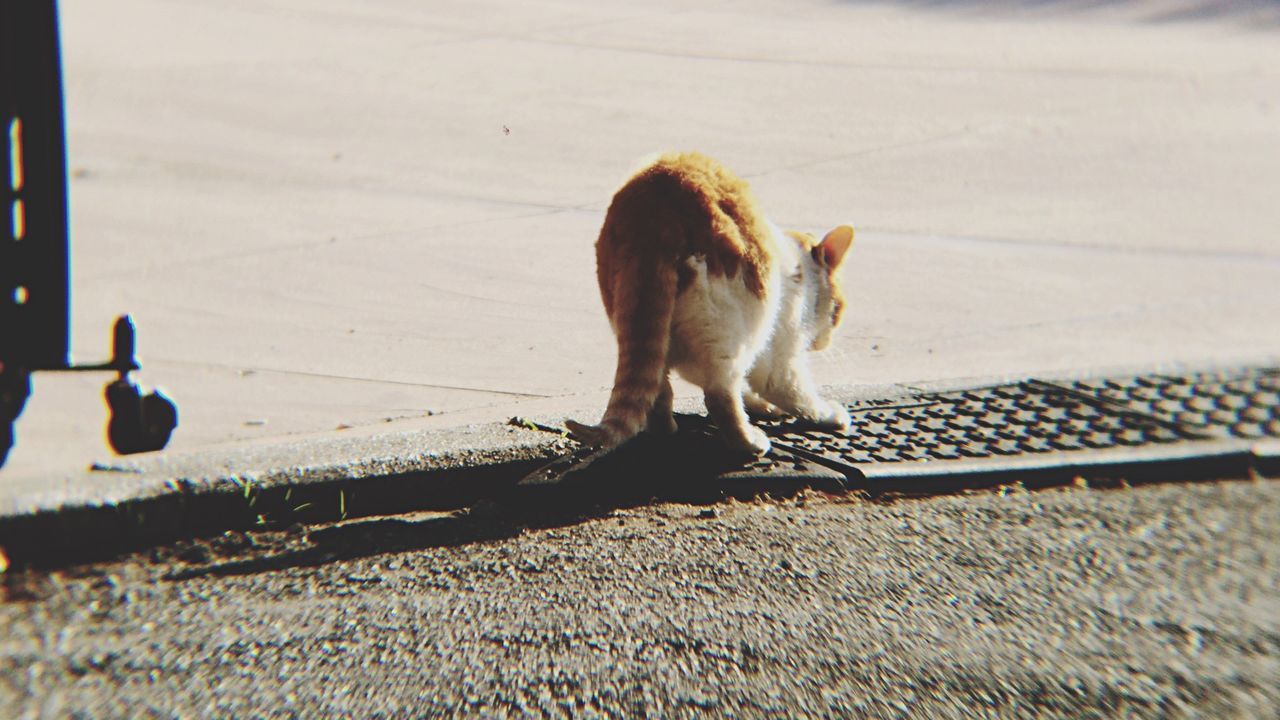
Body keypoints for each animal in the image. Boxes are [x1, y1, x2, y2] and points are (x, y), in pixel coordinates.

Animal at [568, 150, 849, 453]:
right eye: (838, 310)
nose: (825, 343)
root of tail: (656, 209)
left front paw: (760, 405)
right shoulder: (780, 351)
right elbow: (792, 390)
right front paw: (828, 415)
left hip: (637, 322)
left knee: (657, 387)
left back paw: (666, 430)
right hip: (732, 325)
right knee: (719, 394)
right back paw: (749, 443)